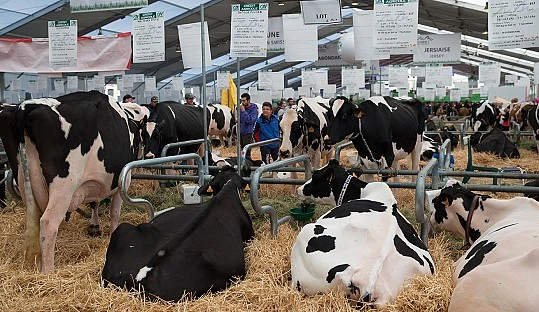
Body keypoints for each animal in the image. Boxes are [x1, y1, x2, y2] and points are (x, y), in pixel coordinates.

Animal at [0, 91, 142, 272]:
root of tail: (25, 107)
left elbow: (94, 202)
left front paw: (94, 226)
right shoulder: (122, 180)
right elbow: (114, 213)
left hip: (24, 181)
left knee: (35, 221)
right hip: (64, 187)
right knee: (48, 223)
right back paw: (48, 272)